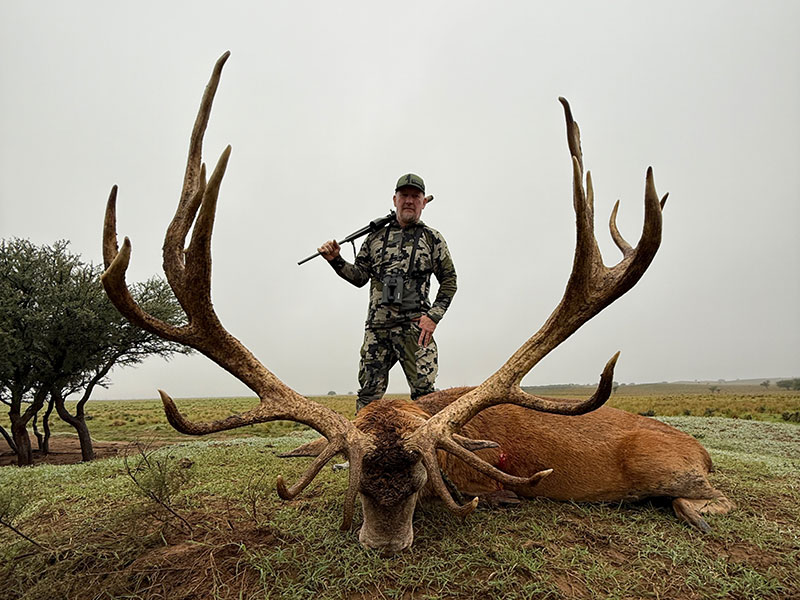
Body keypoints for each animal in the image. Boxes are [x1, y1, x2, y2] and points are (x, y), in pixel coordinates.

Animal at [101, 52, 733, 554]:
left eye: (419, 482)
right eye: (356, 483)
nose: (384, 545)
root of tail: (701, 450)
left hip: (669, 469)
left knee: (714, 498)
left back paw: (695, 512)